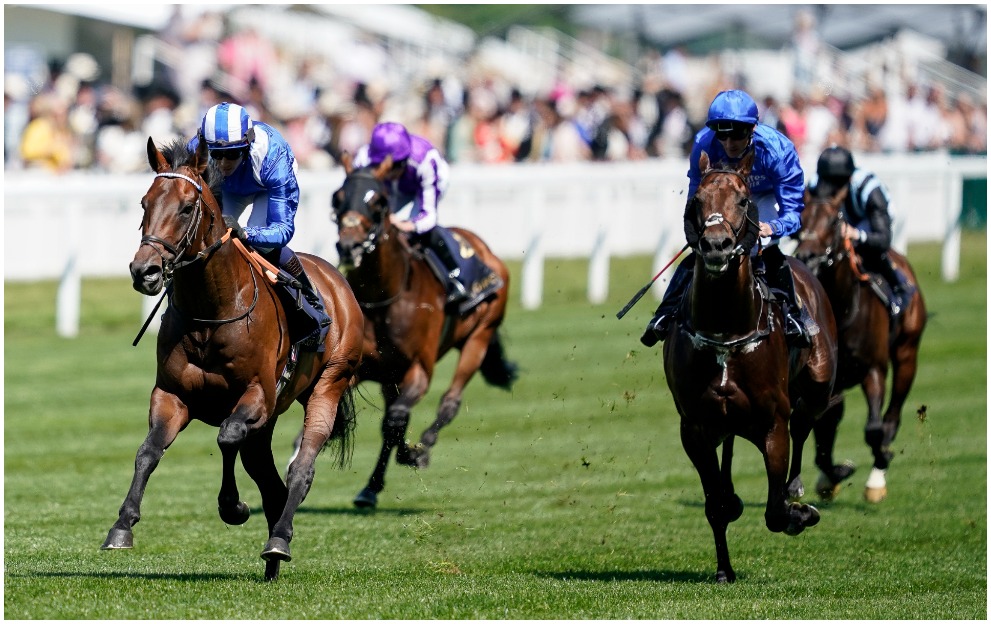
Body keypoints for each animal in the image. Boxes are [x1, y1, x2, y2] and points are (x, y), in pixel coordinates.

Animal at [102, 138, 366, 580]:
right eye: (144, 202)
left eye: (186, 207)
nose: (145, 271)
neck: (212, 311)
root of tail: (337, 280)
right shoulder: (172, 395)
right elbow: (148, 452)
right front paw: (122, 526)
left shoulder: (255, 395)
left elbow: (226, 436)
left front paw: (233, 507)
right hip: (270, 418)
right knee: (270, 479)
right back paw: (273, 552)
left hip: (329, 383)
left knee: (300, 469)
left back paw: (279, 541)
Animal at [324, 152, 520, 512]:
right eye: (337, 197)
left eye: (379, 202)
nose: (350, 246)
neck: (385, 295)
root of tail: (485, 250)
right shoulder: (369, 369)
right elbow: (390, 423)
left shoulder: (418, 369)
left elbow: (395, 420)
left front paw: (415, 454)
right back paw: (371, 488)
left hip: (479, 336)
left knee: (450, 401)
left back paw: (425, 444)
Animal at [664, 152, 840, 584]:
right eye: (698, 200)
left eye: (743, 201)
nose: (715, 245)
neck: (726, 329)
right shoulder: (695, 427)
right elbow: (716, 505)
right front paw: (723, 568)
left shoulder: (772, 422)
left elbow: (775, 511)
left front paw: (799, 513)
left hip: (817, 385)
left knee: (805, 424)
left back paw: (797, 488)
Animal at [796, 185, 928, 502]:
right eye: (802, 218)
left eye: (834, 221)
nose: (807, 257)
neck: (842, 310)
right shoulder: (827, 381)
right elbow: (821, 429)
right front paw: (833, 475)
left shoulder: (873, 370)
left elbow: (873, 429)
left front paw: (878, 472)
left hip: (907, 354)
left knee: (892, 416)